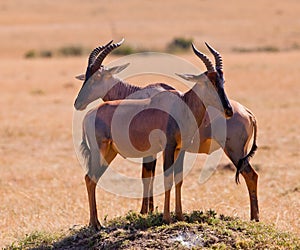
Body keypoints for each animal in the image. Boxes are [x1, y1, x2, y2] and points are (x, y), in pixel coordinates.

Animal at [74, 39, 233, 229]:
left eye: (223, 80)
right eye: (209, 82)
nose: (229, 110)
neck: (182, 103)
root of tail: (88, 116)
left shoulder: (181, 148)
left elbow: (178, 179)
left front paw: (179, 216)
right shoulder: (168, 147)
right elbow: (166, 178)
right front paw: (166, 217)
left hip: (110, 152)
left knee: (92, 178)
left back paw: (96, 223)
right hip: (100, 151)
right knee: (89, 178)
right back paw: (96, 224)